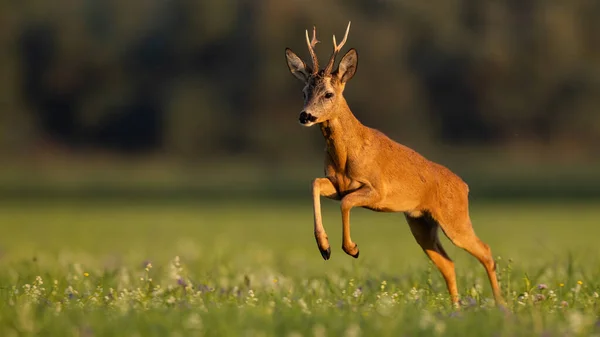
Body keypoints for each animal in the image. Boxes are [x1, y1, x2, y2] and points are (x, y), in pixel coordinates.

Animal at [286, 21, 506, 304]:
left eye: (328, 93)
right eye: (304, 91)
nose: (305, 116)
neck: (348, 153)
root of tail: (464, 187)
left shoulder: (377, 190)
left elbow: (346, 203)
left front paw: (352, 249)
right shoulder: (337, 184)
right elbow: (315, 183)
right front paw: (325, 248)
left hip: (454, 218)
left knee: (486, 252)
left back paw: (500, 304)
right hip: (421, 223)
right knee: (448, 263)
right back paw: (457, 307)